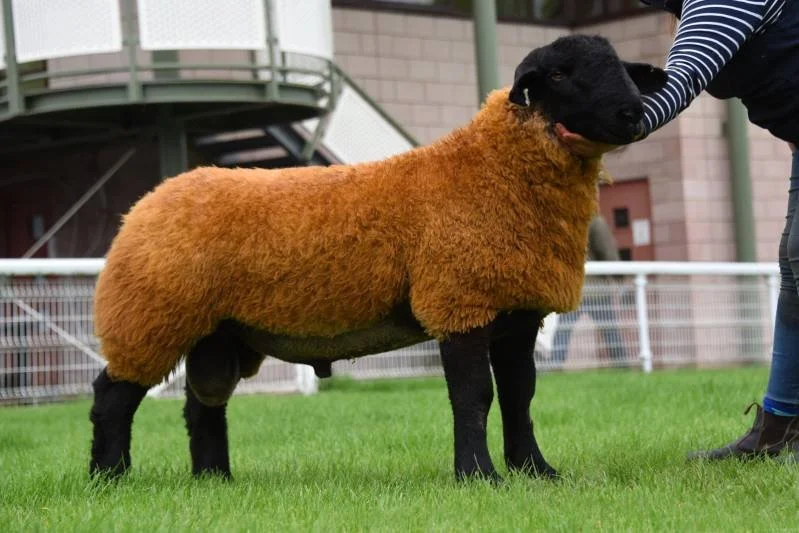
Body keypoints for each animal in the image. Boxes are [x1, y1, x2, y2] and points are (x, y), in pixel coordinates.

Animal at [89, 34, 666, 483]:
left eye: (621, 68)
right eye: (559, 73)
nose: (633, 113)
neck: (490, 170)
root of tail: (146, 202)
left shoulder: (516, 313)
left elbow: (519, 397)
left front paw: (536, 472)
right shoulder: (458, 301)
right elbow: (475, 396)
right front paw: (479, 476)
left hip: (218, 333)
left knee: (202, 405)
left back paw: (214, 480)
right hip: (150, 314)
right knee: (112, 395)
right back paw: (109, 479)